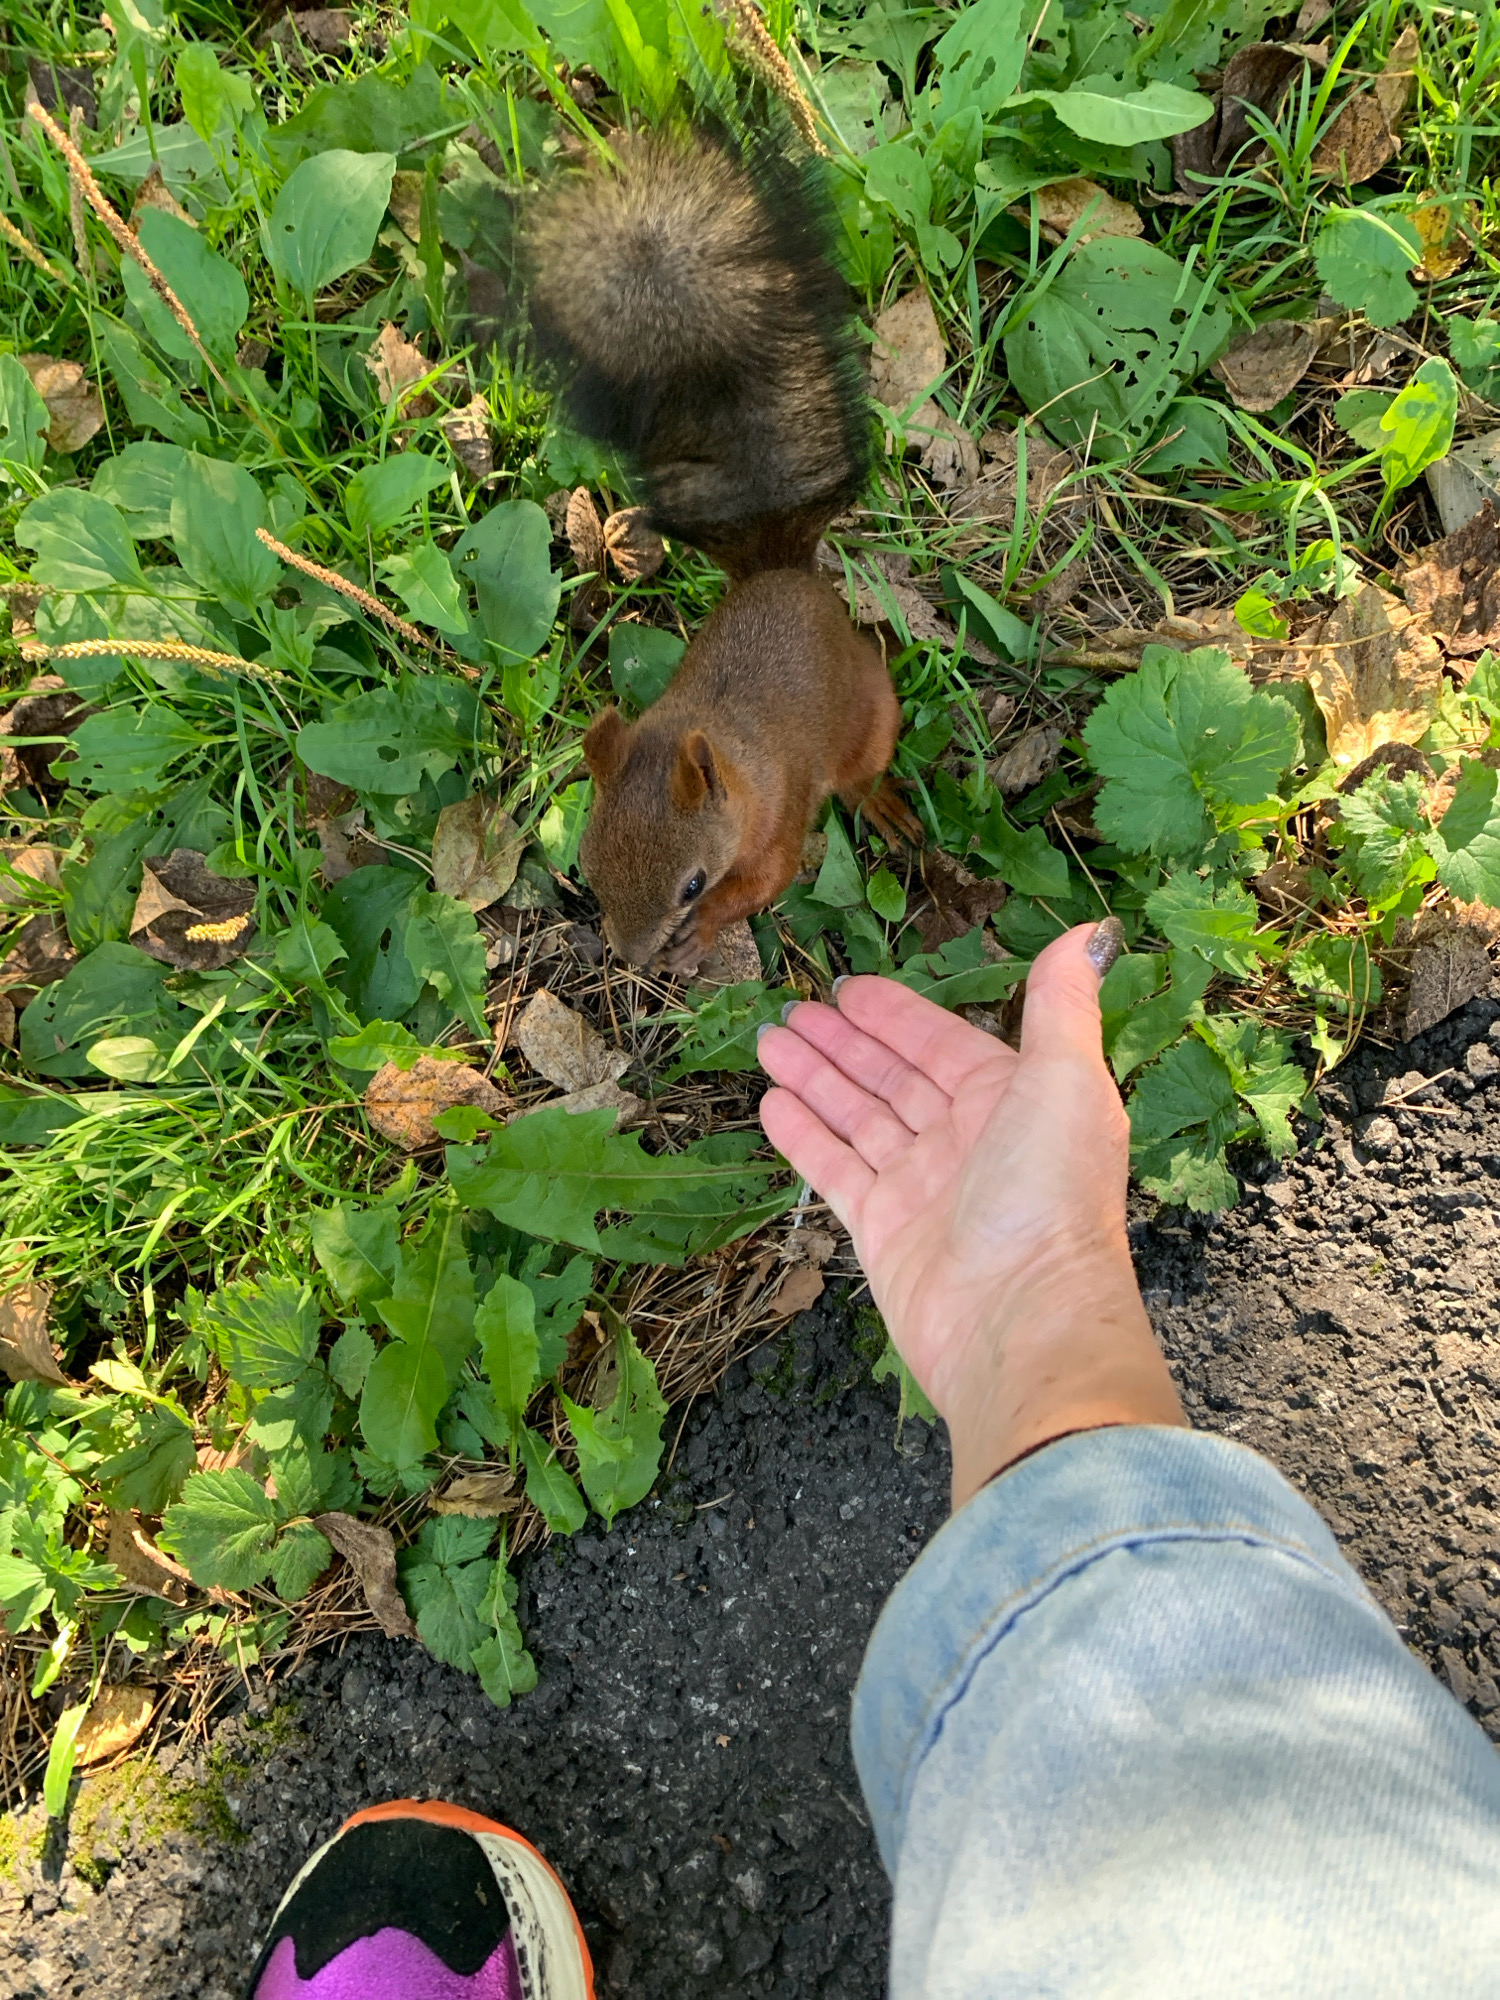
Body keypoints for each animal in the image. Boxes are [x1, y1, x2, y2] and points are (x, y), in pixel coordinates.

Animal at [524, 127, 918, 973]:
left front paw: (705, 933)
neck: (725, 755)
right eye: (590, 866)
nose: (630, 959)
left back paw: (880, 802)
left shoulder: (779, 814)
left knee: (862, 769)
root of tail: (781, 573)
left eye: (692, 884)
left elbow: (770, 877)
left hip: (871, 710)